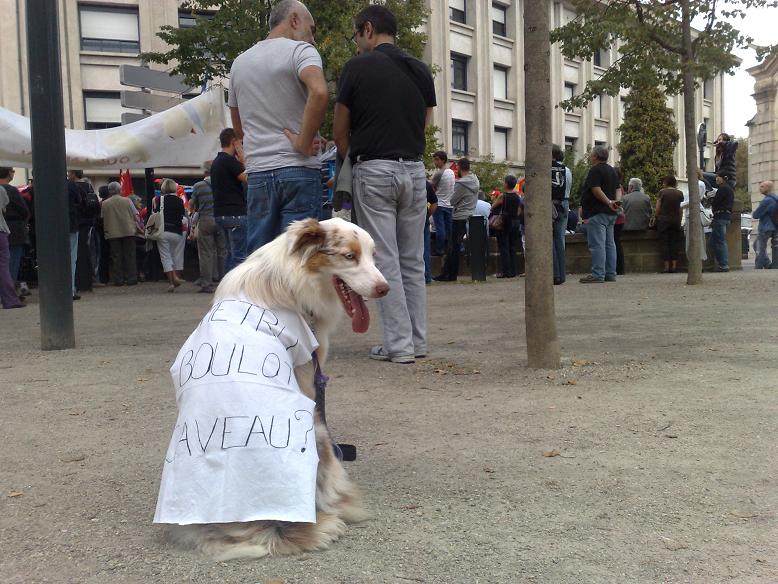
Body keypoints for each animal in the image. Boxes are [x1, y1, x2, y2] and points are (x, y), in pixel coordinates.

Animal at [153, 218, 388, 560]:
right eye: (349, 256)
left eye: (373, 255)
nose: (385, 288)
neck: (292, 279)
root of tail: (264, 528)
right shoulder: (307, 374)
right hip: (317, 431)